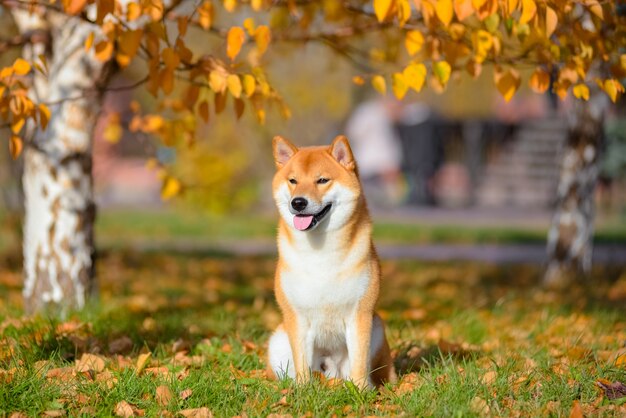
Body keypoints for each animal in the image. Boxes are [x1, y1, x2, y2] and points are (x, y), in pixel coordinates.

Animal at [264, 134, 392, 388]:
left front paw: (361, 391)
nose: (298, 202)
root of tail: (331, 369)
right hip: (278, 342)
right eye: (293, 181)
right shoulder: (297, 318)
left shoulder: (359, 315)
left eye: (322, 180)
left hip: (377, 327)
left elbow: (359, 362)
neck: (320, 252)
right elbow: (302, 364)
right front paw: (303, 390)